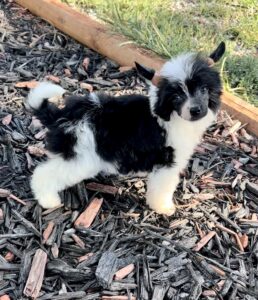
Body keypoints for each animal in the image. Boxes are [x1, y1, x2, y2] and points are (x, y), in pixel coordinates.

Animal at [25, 42, 225, 216]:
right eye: (176, 96)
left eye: (204, 89)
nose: (195, 110)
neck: (170, 115)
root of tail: (61, 115)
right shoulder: (167, 164)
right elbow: (163, 187)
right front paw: (163, 207)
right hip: (80, 158)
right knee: (43, 174)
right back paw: (47, 200)